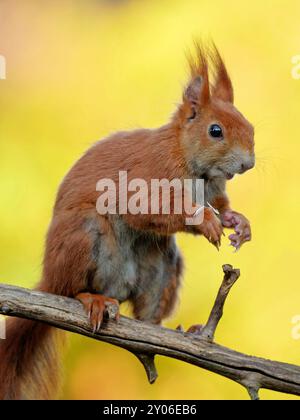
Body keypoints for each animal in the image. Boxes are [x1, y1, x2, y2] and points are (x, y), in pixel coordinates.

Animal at [0, 43, 255, 400]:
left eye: (249, 125)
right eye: (215, 130)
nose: (248, 164)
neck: (196, 169)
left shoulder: (214, 190)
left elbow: (222, 207)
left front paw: (238, 223)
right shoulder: (145, 178)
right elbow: (148, 211)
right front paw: (206, 220)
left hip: (163, 270)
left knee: (148, 315)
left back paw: (174, 331)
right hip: (83, 238)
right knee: (71, 291)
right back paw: (90, 299)